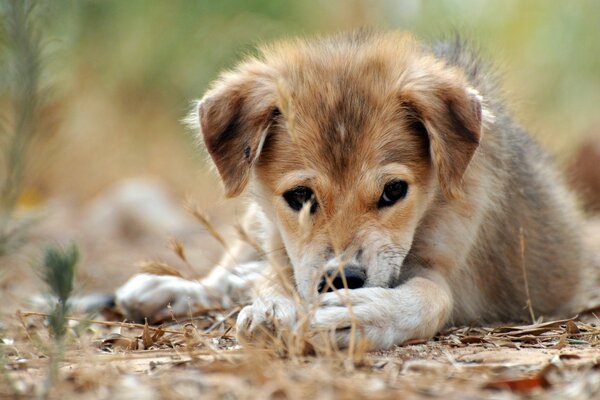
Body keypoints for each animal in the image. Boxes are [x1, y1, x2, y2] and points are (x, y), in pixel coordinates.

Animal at [113, 31, 584, 350]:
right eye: (300, 197)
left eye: (394, 191)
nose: (343, 280)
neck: (429, 209)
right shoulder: (284, 243)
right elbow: (274, 277)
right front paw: (272, 308)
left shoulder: (445, 267)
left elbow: (430, 298)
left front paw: (355, 316)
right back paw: (167, 289)